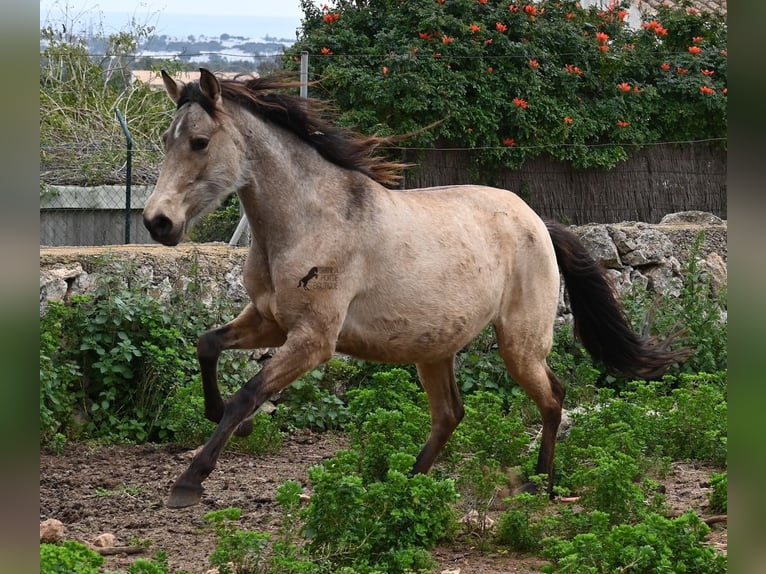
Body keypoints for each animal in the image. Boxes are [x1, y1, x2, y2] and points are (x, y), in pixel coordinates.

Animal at [144, 67, 688, 508]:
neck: (308, 222)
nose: (157, 222)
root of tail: (537, 222)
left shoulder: (314, 340)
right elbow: (207, 345)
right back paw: (406, 488)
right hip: (435, 347)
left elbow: (248, 394)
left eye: (199, 142)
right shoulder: (269, 321)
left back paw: (539, 486)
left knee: (553, 398)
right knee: (450, 414)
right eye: (167, 139)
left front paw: (189, 482)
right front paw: (220, 417)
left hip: (519, 343)